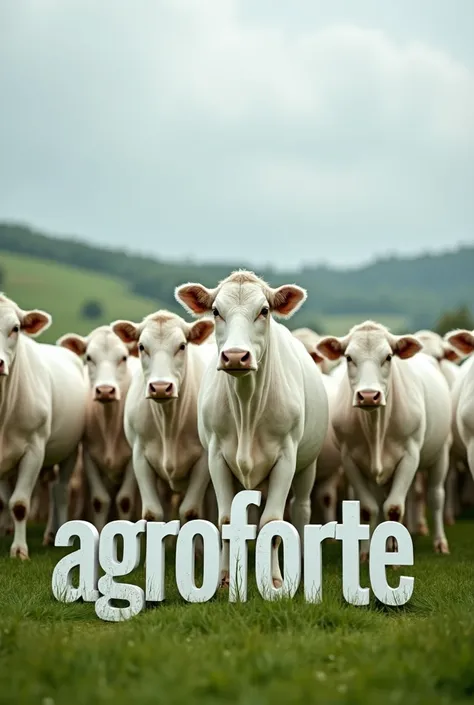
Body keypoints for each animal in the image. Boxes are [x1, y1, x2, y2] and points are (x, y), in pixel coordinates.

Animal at [0, 292, 86, 556]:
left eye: (15, 328)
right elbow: (3, 501)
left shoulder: (34, 449)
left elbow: (19, 504)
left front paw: (19, 550)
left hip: (70, 451)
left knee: (60, 491)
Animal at [57, 324, 141, 528]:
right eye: (89, 357)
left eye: (123, 357)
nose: (105, 390)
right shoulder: (89, 455)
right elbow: (99, 501)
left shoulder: (132, 460)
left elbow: (125, 500)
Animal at [111, 310, 215, 524]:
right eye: (141, 346)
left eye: (182, 346)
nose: (160, 387)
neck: (169, 424)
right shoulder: (140, 456)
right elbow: (153, 513)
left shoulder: (203, 460)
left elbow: (190, 512)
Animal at [175, 270, 330, 588]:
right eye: (216, 311)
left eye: (264, 310)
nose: (236, 356)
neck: (247, 409)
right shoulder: (216, 457)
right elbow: (227, 521)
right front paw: (224, 578)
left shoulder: (286, 458)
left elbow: (272, 523)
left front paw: (274, 581)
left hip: (307, 465)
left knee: (301, 509)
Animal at [314, 322, 452, 560]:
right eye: (349, 357)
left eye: (388, 356)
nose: (369, 395)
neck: (375, 428)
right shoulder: (349, 459)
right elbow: (368, 509)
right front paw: (365, 554)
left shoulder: (410, 456)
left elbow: (394, 508)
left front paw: (395, 558)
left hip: (441, 454)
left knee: (435, 497)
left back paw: (440, 543)